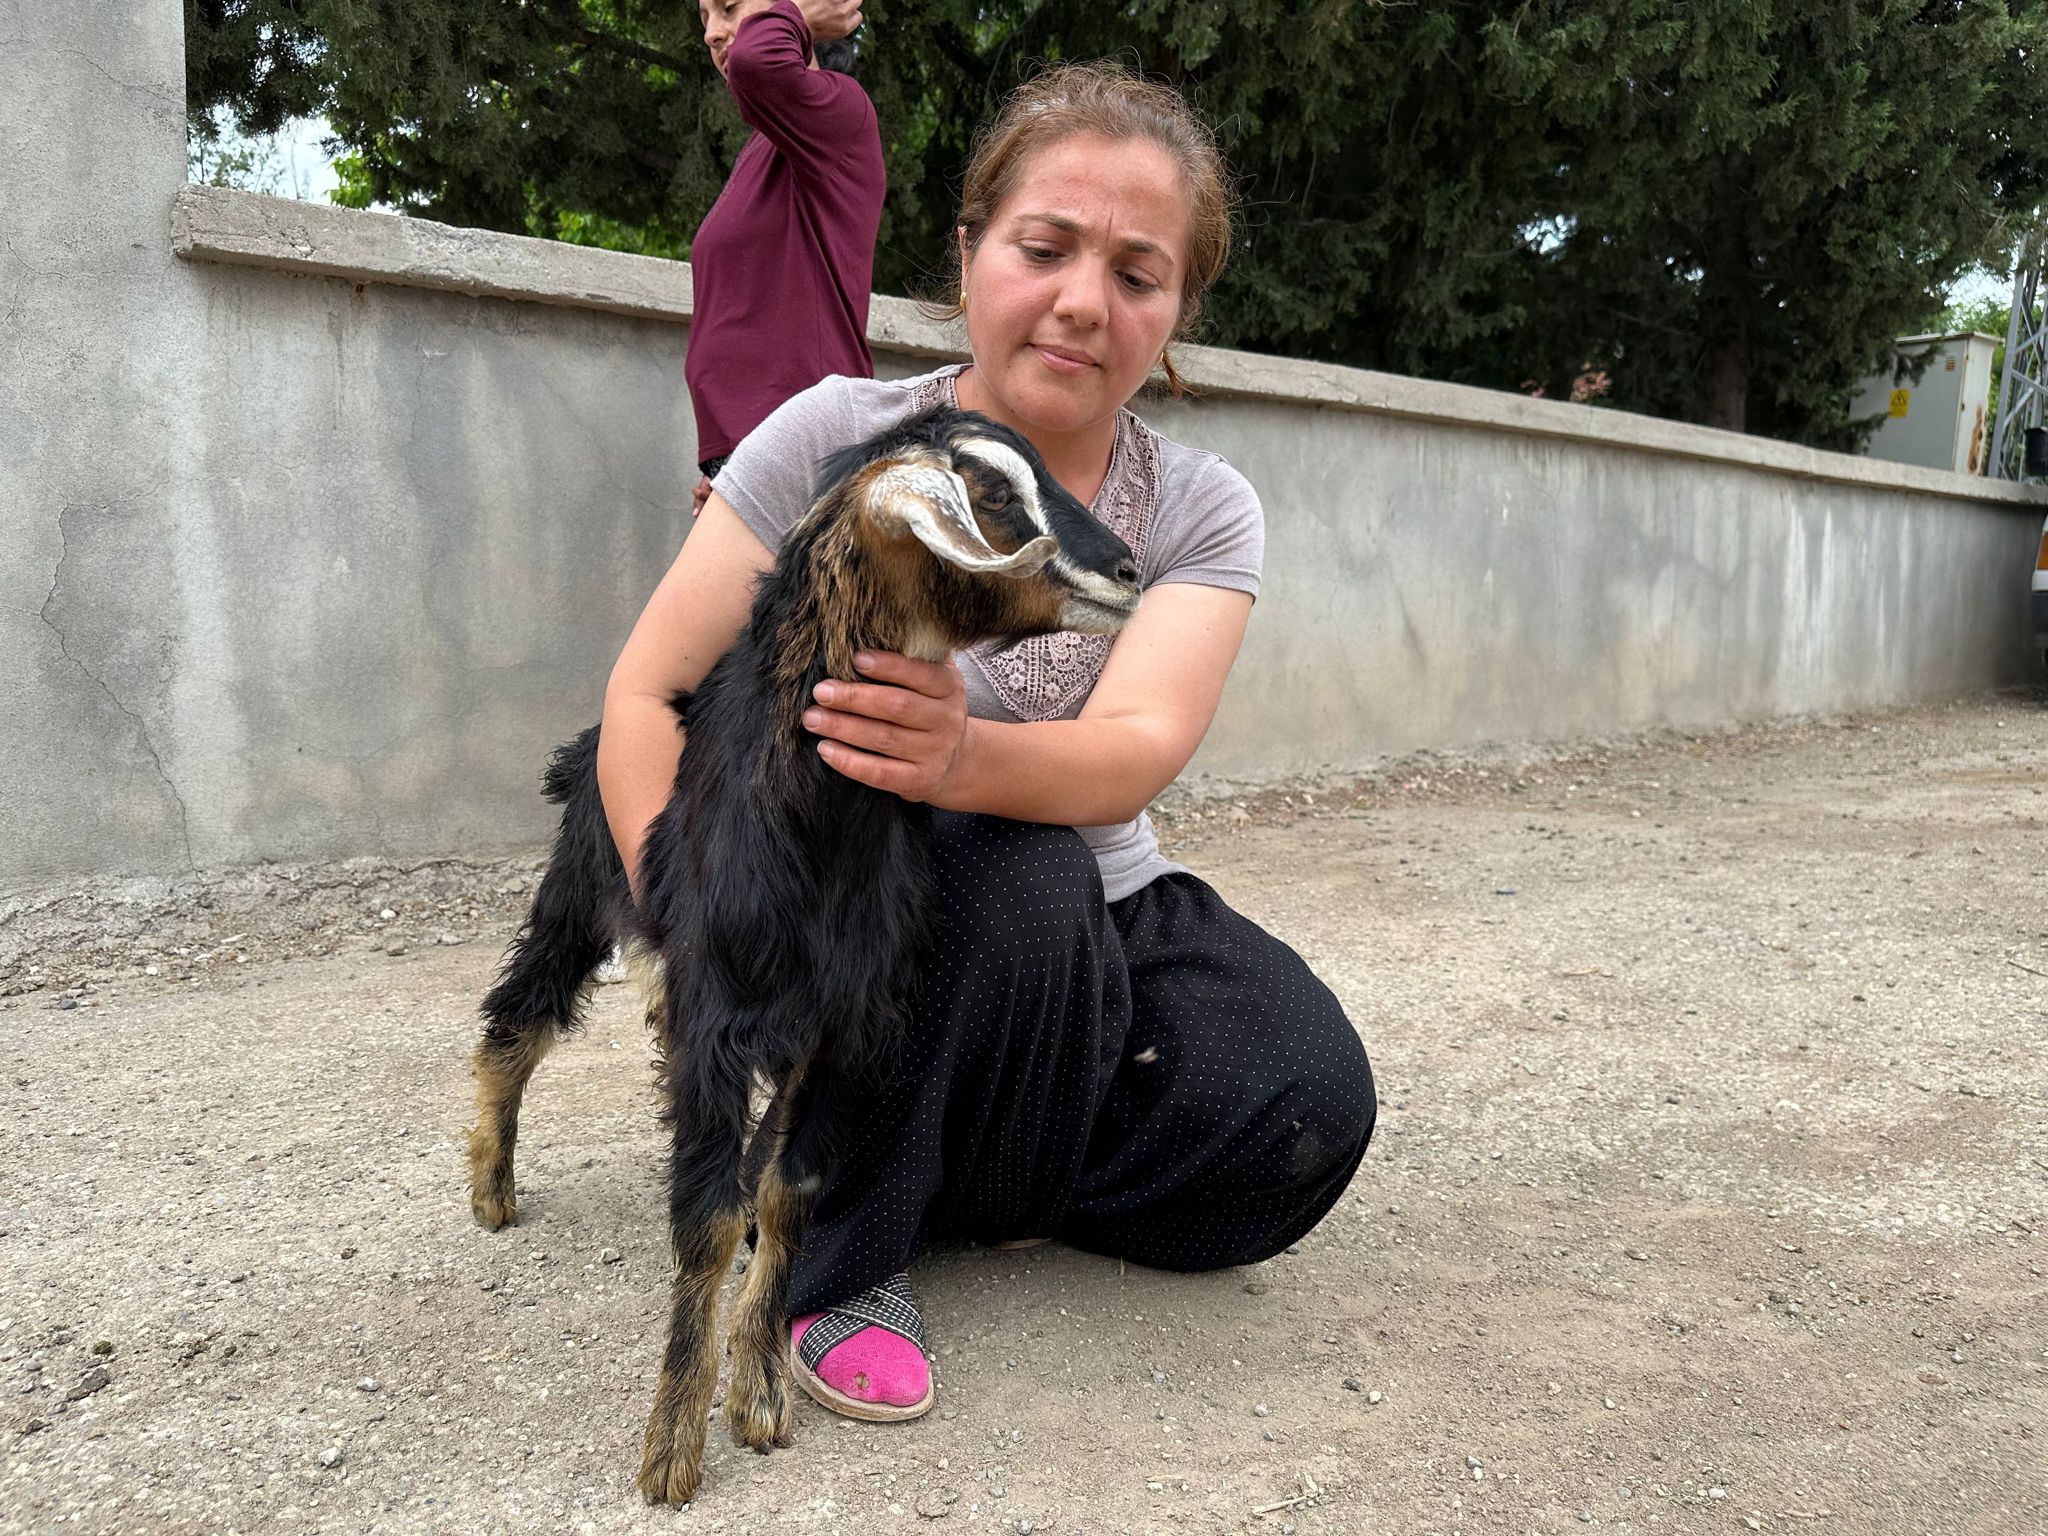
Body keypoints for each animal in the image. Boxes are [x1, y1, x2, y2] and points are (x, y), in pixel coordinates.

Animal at [464, 405, 1146, 1507]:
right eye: (994, 494)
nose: (1127, 570)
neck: (815, 836)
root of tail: (583, 743)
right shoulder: (717, 1025)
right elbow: (705, 1218)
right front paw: (670, 1446)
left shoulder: (846, 1027)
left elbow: (790, 1191)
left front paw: (757, 1392)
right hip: (577, 896)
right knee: (519, 1015)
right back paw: (490, 1186)